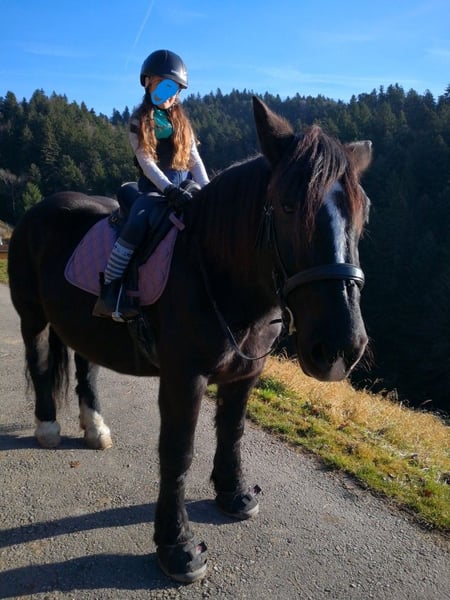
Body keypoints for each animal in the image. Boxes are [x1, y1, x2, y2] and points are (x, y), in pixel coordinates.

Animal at [7, 97, 371, 583]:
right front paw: (177, 545)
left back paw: (95, 426)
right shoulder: (184, 378)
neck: (216, 271)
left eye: (362, 213)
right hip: (31, 316)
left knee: (85, 366)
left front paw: (235, 494)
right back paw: (48, 426)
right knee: (40, 361)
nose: (340, 348)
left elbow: (232, 432)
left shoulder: (246, 373)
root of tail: (40, 209)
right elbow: (178, 453)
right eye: (289, 205)